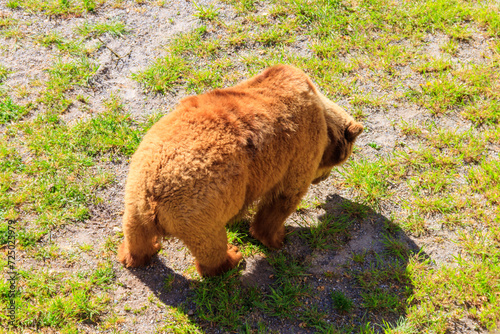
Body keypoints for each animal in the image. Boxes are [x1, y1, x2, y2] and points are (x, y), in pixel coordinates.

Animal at [119, 64, 366, 276]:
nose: (323, 179)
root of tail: (153, 193)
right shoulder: (300, 149)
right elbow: (284, 197)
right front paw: (276, 237)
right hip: (198, 208)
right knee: (211, 244)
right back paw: (232, 259)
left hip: (135, 191)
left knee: (134, 232)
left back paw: (136, 253)